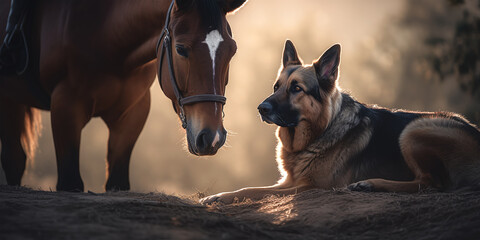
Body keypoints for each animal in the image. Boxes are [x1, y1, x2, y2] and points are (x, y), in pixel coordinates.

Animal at [0, 0, 248, 191]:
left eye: (232, 50)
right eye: (180, 49)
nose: (212, 137)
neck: (106, 35)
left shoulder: (132, 113)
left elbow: (116, 182)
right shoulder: (65, 107)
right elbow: (70, 183)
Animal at [199, 39, 480, 204]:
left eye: (296, 88)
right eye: (276, 87)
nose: (261, 108)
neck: (319, 133)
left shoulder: (311, 187)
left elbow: (256, 191)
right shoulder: (288, 182)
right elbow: (247, 188)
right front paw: (219, 195)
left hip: (415, 129)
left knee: (432, 183)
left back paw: (371, 184)